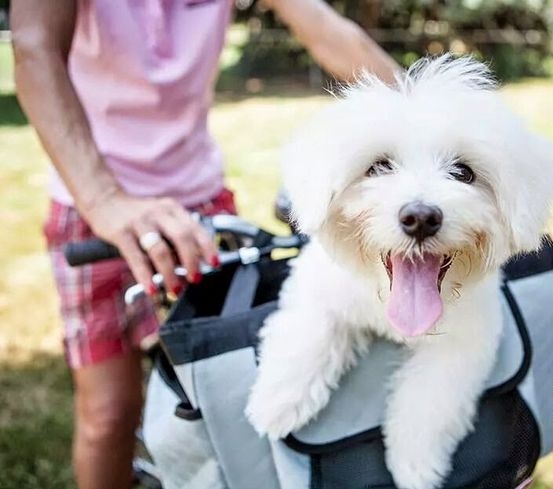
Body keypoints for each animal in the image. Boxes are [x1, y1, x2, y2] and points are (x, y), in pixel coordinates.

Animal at [247, 54, 553, 488]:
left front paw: (415, 465)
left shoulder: (465, 342)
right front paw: (277, 400)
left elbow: (430, 401)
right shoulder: (316, 285)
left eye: (463, 173)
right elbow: (310, 328)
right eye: (378, 168)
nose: (421, 216)